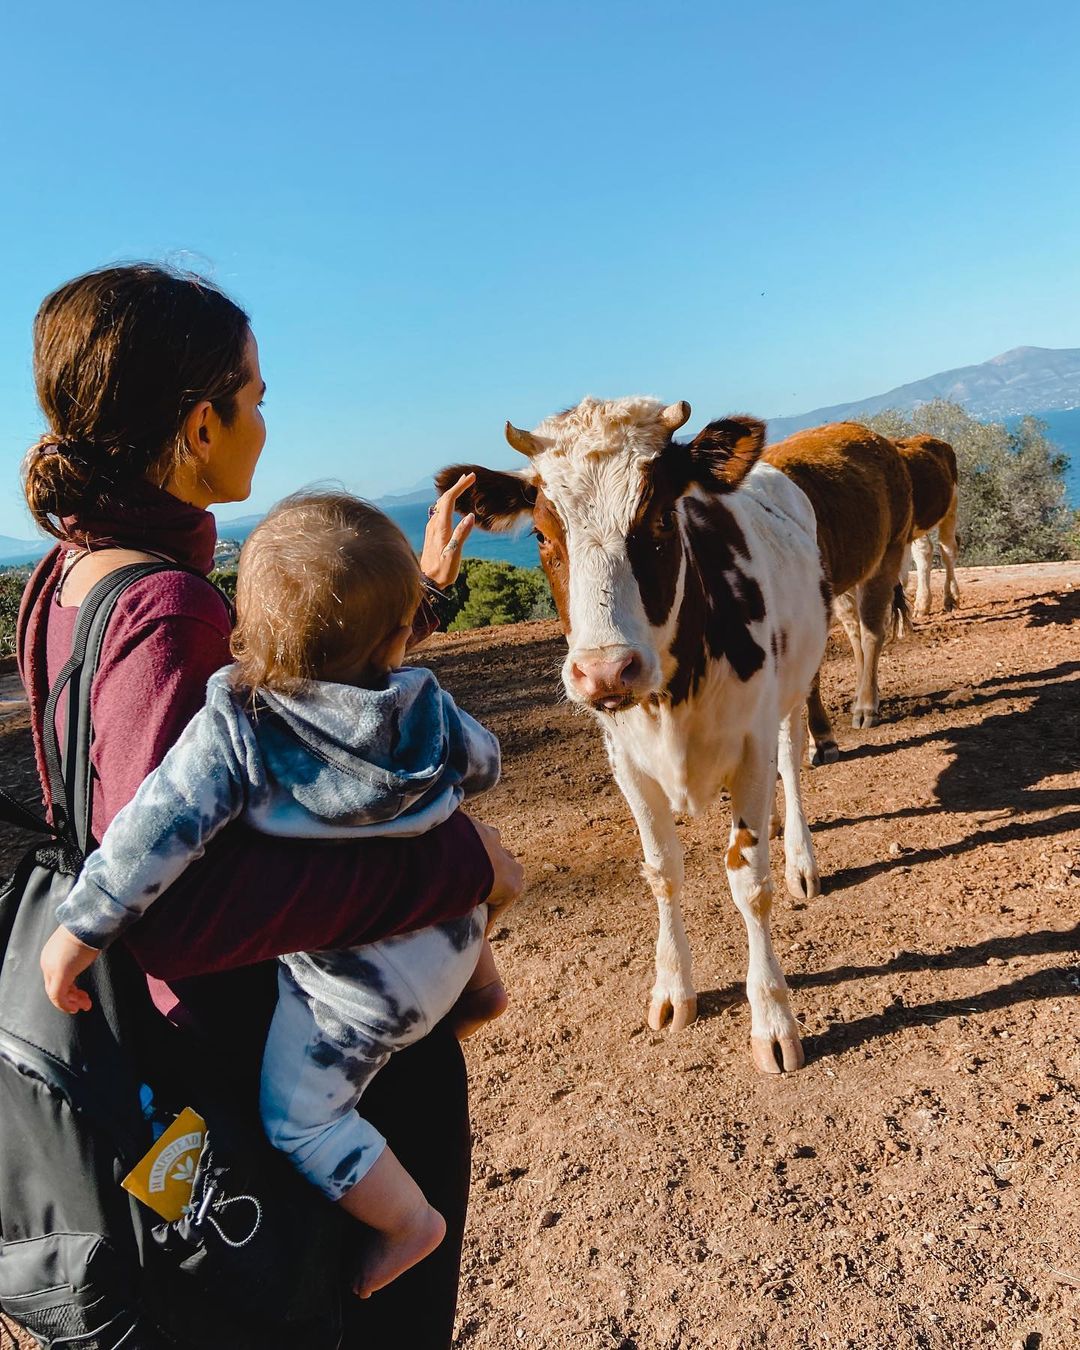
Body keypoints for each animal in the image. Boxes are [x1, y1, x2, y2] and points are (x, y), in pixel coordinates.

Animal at [434, 394, 831, 1069]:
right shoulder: (625, 761)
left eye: (662, 521)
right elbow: (662, 870)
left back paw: (800, 856)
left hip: (795, 686)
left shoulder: (749, 748)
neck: (669, 700)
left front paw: (773, 1016)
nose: (604, 671)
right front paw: (673, 989)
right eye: (541, 534)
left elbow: (750, 882)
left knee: (791, 758)